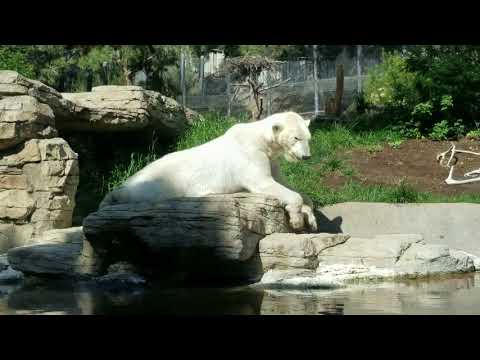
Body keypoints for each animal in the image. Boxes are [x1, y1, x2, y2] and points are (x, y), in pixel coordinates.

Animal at [99, 111, 316, 232]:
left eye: (308, 138)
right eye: (296, 138)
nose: (307, 157)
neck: (261, 139)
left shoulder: (271, 159)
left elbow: (284, 183)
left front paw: (311, 219)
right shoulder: (251, 154)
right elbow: (264, 182)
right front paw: (297, 220)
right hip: (161, 183)